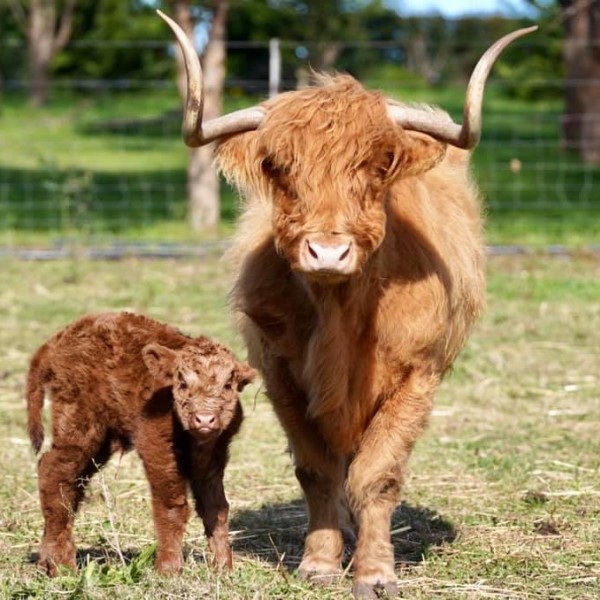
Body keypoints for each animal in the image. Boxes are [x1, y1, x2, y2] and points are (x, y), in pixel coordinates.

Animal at [25, 312, 255, 576]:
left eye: (228, 385)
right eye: (182, 383)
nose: (204, 418)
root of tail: (56, 341)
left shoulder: (214, 455)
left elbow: (216, 506)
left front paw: (223, 566)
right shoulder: (154, 444)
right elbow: (172, 505)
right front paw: (168, 569)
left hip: (101, 439)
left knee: (71, 482)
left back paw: (47, 560)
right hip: (78, 422)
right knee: (55, 472)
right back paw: (61, 564)